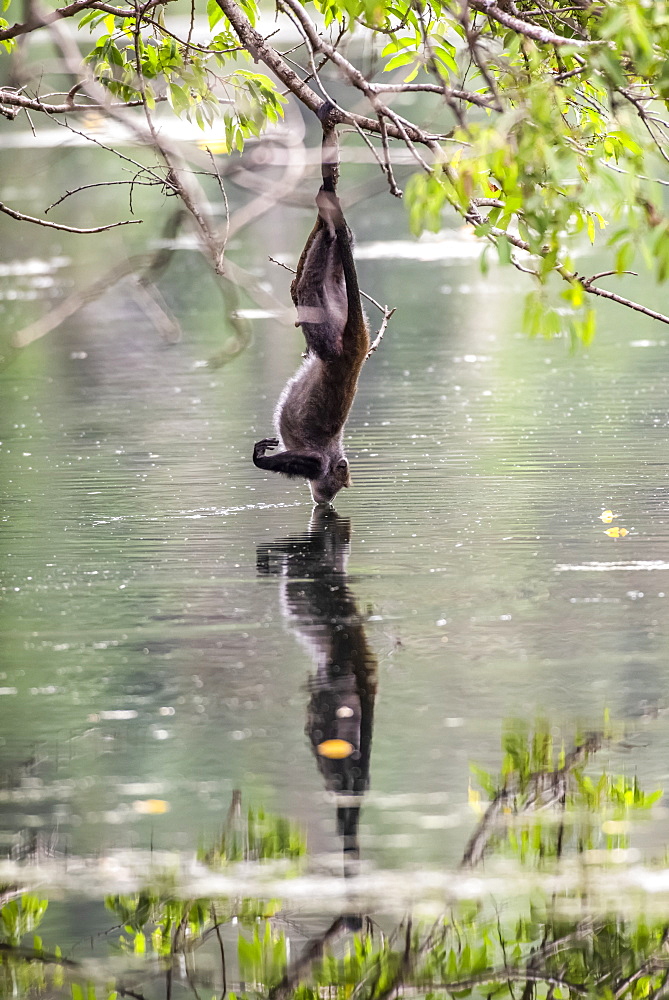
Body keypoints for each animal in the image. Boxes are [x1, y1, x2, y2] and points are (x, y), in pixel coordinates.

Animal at [252, 107, 370, 508]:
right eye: (335, 483)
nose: (324, 499)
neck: (333, 455)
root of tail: (356, 350)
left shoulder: (316, 462)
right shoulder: (319, 461)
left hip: (336, 312)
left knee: (316, 284)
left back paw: (330, 222)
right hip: (334, 339)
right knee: (312, 297)